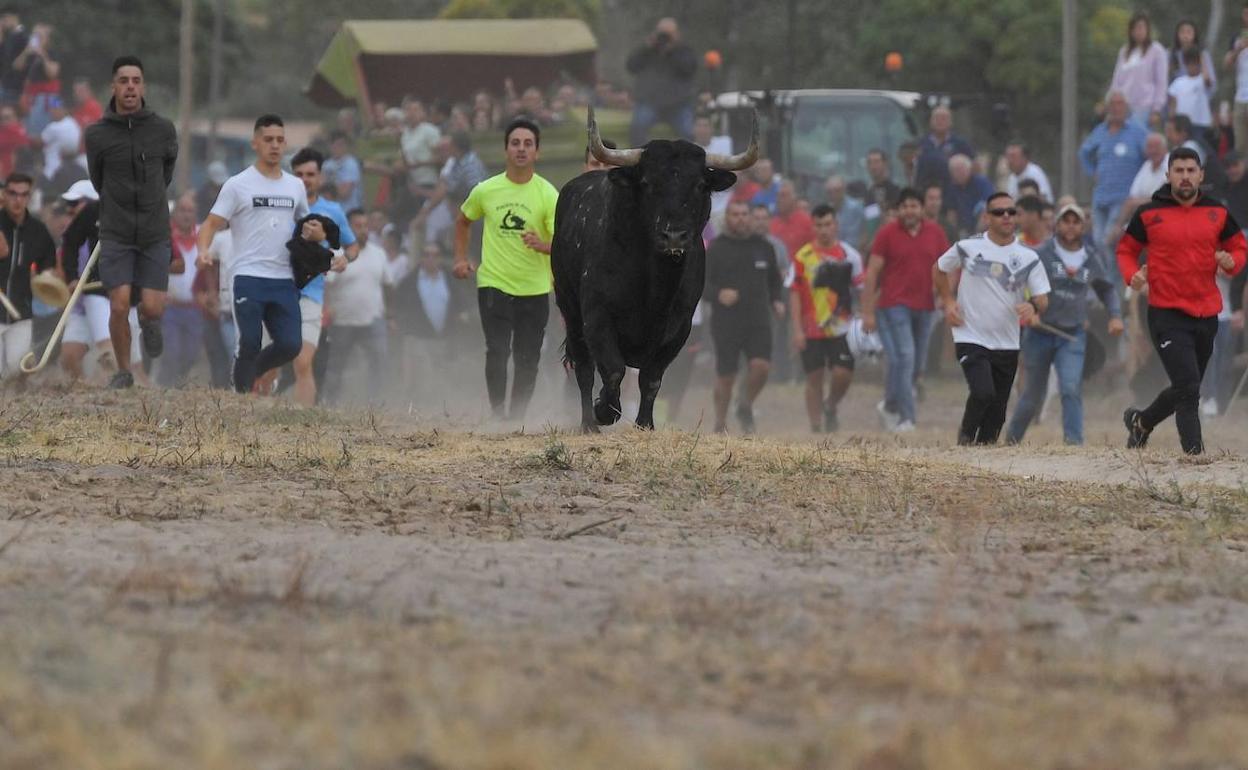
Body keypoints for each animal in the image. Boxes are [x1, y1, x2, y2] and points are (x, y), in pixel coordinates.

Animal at [554, 107, 758, 431]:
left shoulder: (680, 328)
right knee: (584, 368)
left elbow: (651, 380)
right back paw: (588, 423)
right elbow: (612, 370)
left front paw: (645, 424)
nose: (674, 236)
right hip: (569, 307)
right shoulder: (597, 317)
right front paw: (604, 410)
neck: (654, 286)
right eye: (649, 183)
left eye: (700, 185)